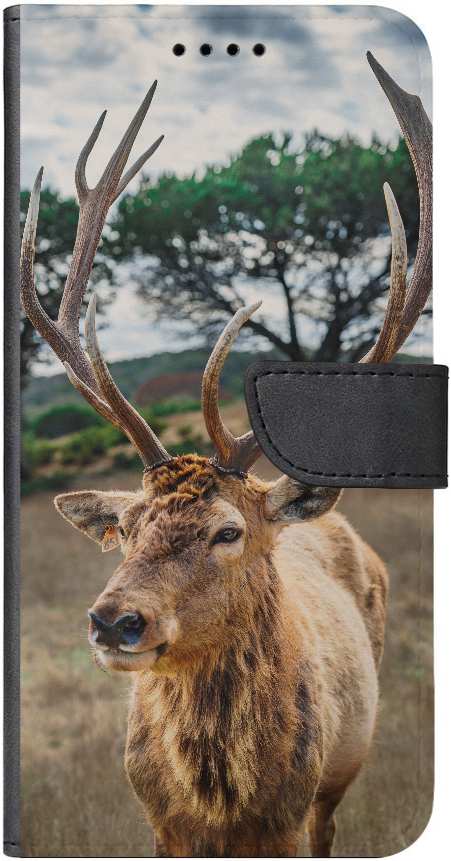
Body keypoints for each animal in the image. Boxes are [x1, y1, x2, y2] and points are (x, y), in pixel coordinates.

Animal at [21, 53, 431, 857]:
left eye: (227, 530)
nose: (114, 621)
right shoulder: (158, 825)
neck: (219, 804)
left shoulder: (292, 817)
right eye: (127, 527)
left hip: (341, 773)